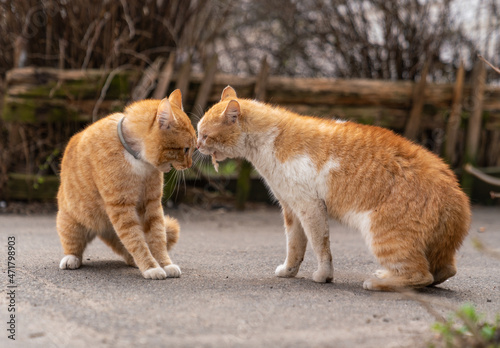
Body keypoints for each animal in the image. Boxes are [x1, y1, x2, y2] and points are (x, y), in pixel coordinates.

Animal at [56, 90, 193, 280]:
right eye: (186, 149)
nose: (190, 165)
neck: (138, 159)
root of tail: (102, 229)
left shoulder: (151, 205)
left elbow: (157, 238)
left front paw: (165, 264)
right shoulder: (121, 208)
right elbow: (136, 241)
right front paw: (151, 267)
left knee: (129, 248)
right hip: (70, 221)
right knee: (74, 245)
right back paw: (71, 259)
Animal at [197, 86, 470, 290]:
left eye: (205, 135)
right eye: (198, 133)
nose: (196, 145)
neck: (270, 139)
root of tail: (456, 193)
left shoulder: (310, 207)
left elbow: (321, 245)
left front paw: (323, 276)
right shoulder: (292, 209)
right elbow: (295, 246)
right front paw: (289, 271)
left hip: (382, 234)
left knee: (421, 275)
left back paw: (378, 283)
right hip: (436, 250)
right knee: (444, 271)